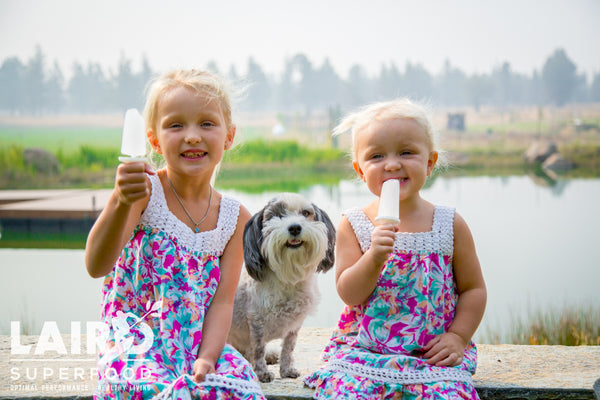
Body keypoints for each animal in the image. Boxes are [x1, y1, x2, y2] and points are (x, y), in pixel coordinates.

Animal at [227, 192, 336, 382]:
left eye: (306, 213)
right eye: (275, 215)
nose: (295, 228)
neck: (288, 277)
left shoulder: (294, 325)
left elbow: (288, 348)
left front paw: (287, 370)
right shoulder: (257, 320)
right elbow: (258, 349)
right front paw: (262, 373)